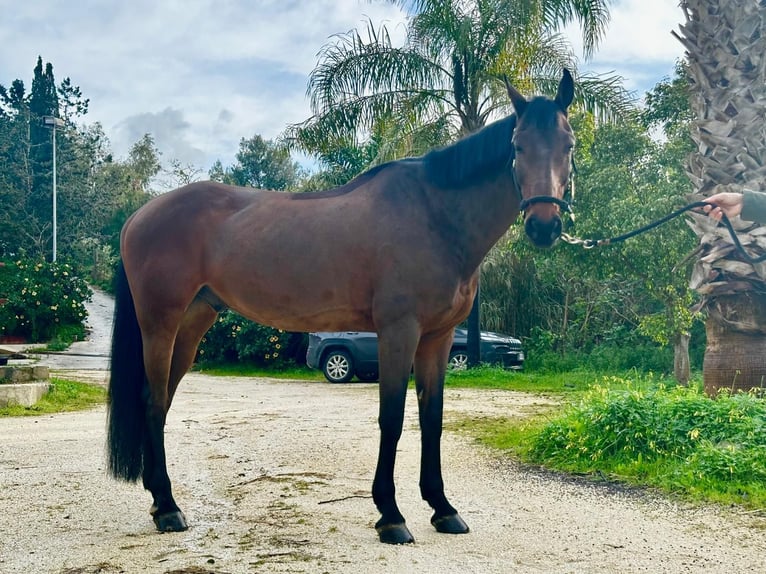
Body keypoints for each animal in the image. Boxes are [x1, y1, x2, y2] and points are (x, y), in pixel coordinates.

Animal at [107, 70, 576, 545]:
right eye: (517, 146)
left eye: (568, 145)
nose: (544, 226)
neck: (435, 216)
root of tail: (138, 216)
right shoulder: (398, 332)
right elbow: (392, 419)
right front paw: (391, 516)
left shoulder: (438, 339)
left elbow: (433, 420)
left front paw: (443, 508)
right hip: (160, 324)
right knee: (153, 402)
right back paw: (169, 508)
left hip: (194, 322)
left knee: (161, 400)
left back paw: (158, 499)